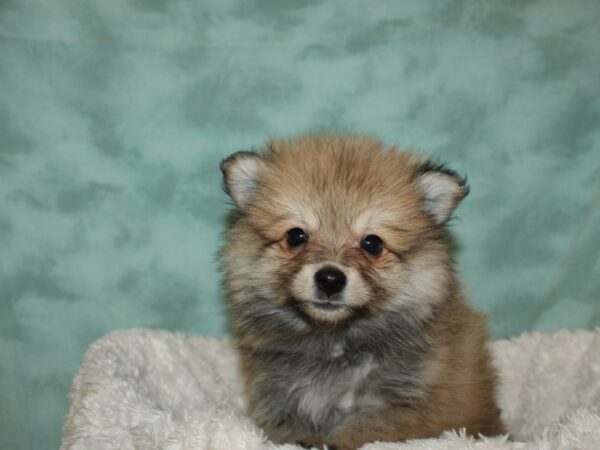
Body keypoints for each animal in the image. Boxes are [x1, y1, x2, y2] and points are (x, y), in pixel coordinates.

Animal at [219, 134, 502, 450]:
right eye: (296, 236)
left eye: (372, 243)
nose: (330, 278)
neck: (333, 341)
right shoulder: (278, 400)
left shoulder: (407, 409)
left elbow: (359, 430)